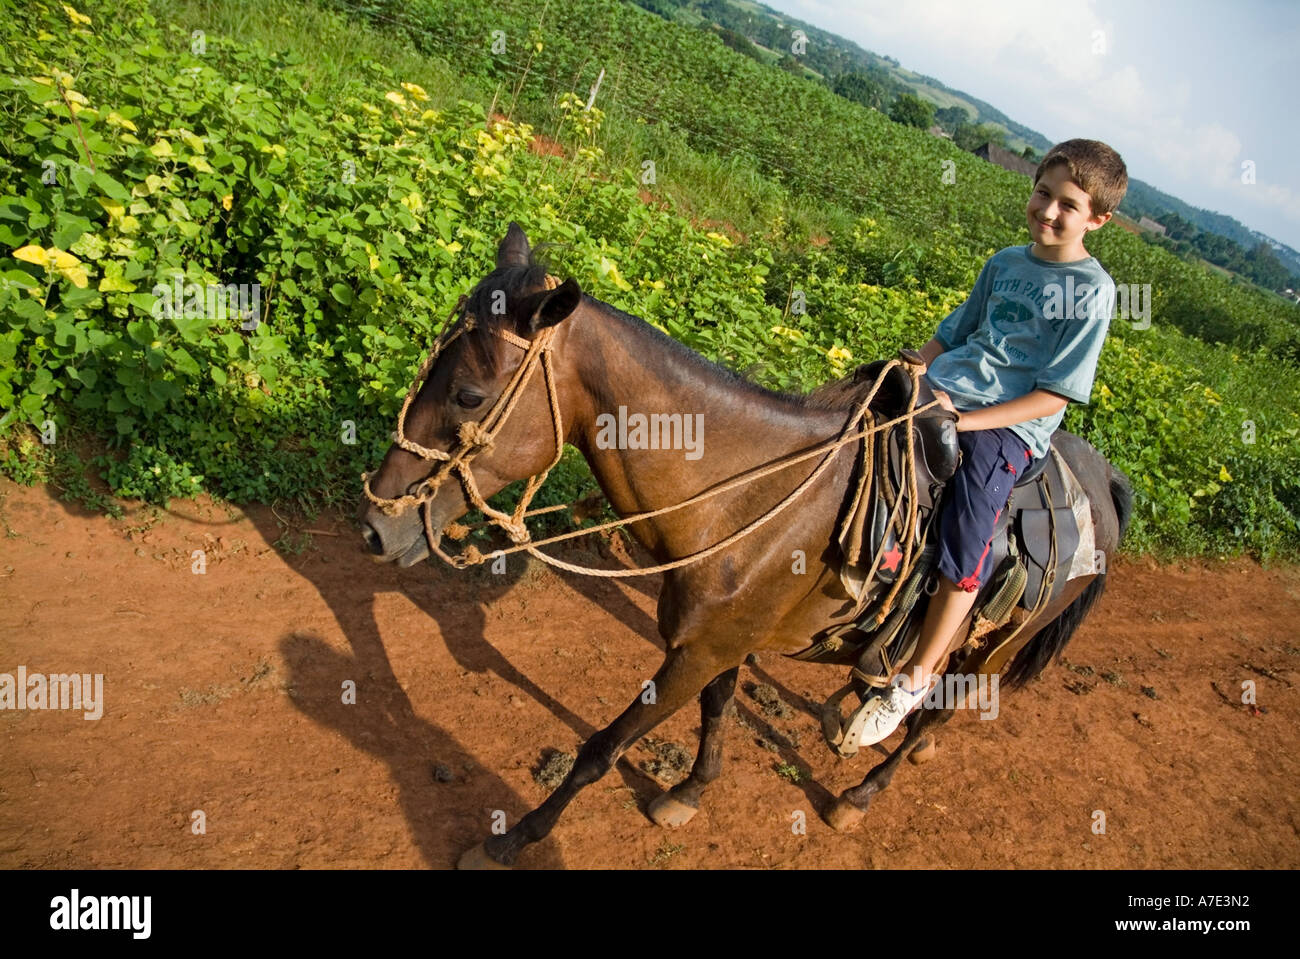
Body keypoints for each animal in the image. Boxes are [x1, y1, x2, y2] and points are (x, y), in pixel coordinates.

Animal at [358, 222, 1133, 868]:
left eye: (468, 394)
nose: (376, 525)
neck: (743, 497)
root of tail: (1102, 482)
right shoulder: (722, 640)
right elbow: (719, 707)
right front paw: (691, 790)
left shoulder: (697, 651)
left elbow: (601, 749)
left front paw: (512, 839)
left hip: (993, 645)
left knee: (937, 707)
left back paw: (863, 787)